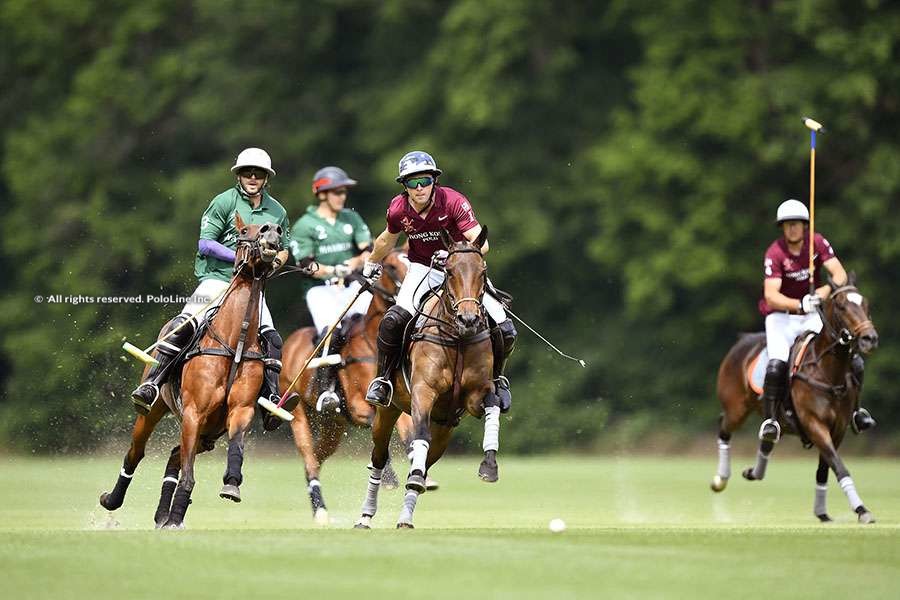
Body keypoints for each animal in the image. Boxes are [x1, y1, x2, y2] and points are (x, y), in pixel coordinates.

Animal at [99, 213, 284, 528]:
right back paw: (113, 500)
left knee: (175, 455)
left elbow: (236, 445)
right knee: (136, 453)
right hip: (156, 411)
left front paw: (231, 484)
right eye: (243, 231)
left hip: (208, 435)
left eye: (279, 228)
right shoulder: (194, 412)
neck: (234, 343)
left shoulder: (241, 409)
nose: (272, 231)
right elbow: (188, 474)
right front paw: (177, 515)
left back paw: (163, 515)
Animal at [280, 248, 430, 524]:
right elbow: (374, 427)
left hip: (333, 425)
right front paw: (389, 477)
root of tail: (291, 342)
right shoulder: (359, 405)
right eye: (391, 266)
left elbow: (408, 432)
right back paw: (320, 510)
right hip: (296, 412)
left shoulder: (394, 403)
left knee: (316, 457)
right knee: (308, 457)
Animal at [354, 230, 492, 528]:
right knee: (379, 457)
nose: (468, 319)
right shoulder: (422, 392)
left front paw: (489, 466)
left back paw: (406, 513)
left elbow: (489, 404)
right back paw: (365, 515)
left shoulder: (474, 397)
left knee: (425, 462)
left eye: (483, 272)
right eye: (449, 271)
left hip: (445, 429)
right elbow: (419, 434)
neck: (457, 338)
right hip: (387, 412)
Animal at [712, 278, 880, 524]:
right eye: (841, 306)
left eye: (865, 303)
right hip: (736, 408)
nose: (870, 338)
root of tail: (743, 340)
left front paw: (822, 512)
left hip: (771, 416)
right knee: (724, 427)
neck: (827, 372)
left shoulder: (838, 429)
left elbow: (825, 468)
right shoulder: (814, 424)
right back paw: (720, 479)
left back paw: (754, 472)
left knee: (767, 435)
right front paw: (861, 510)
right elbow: (839, 465)